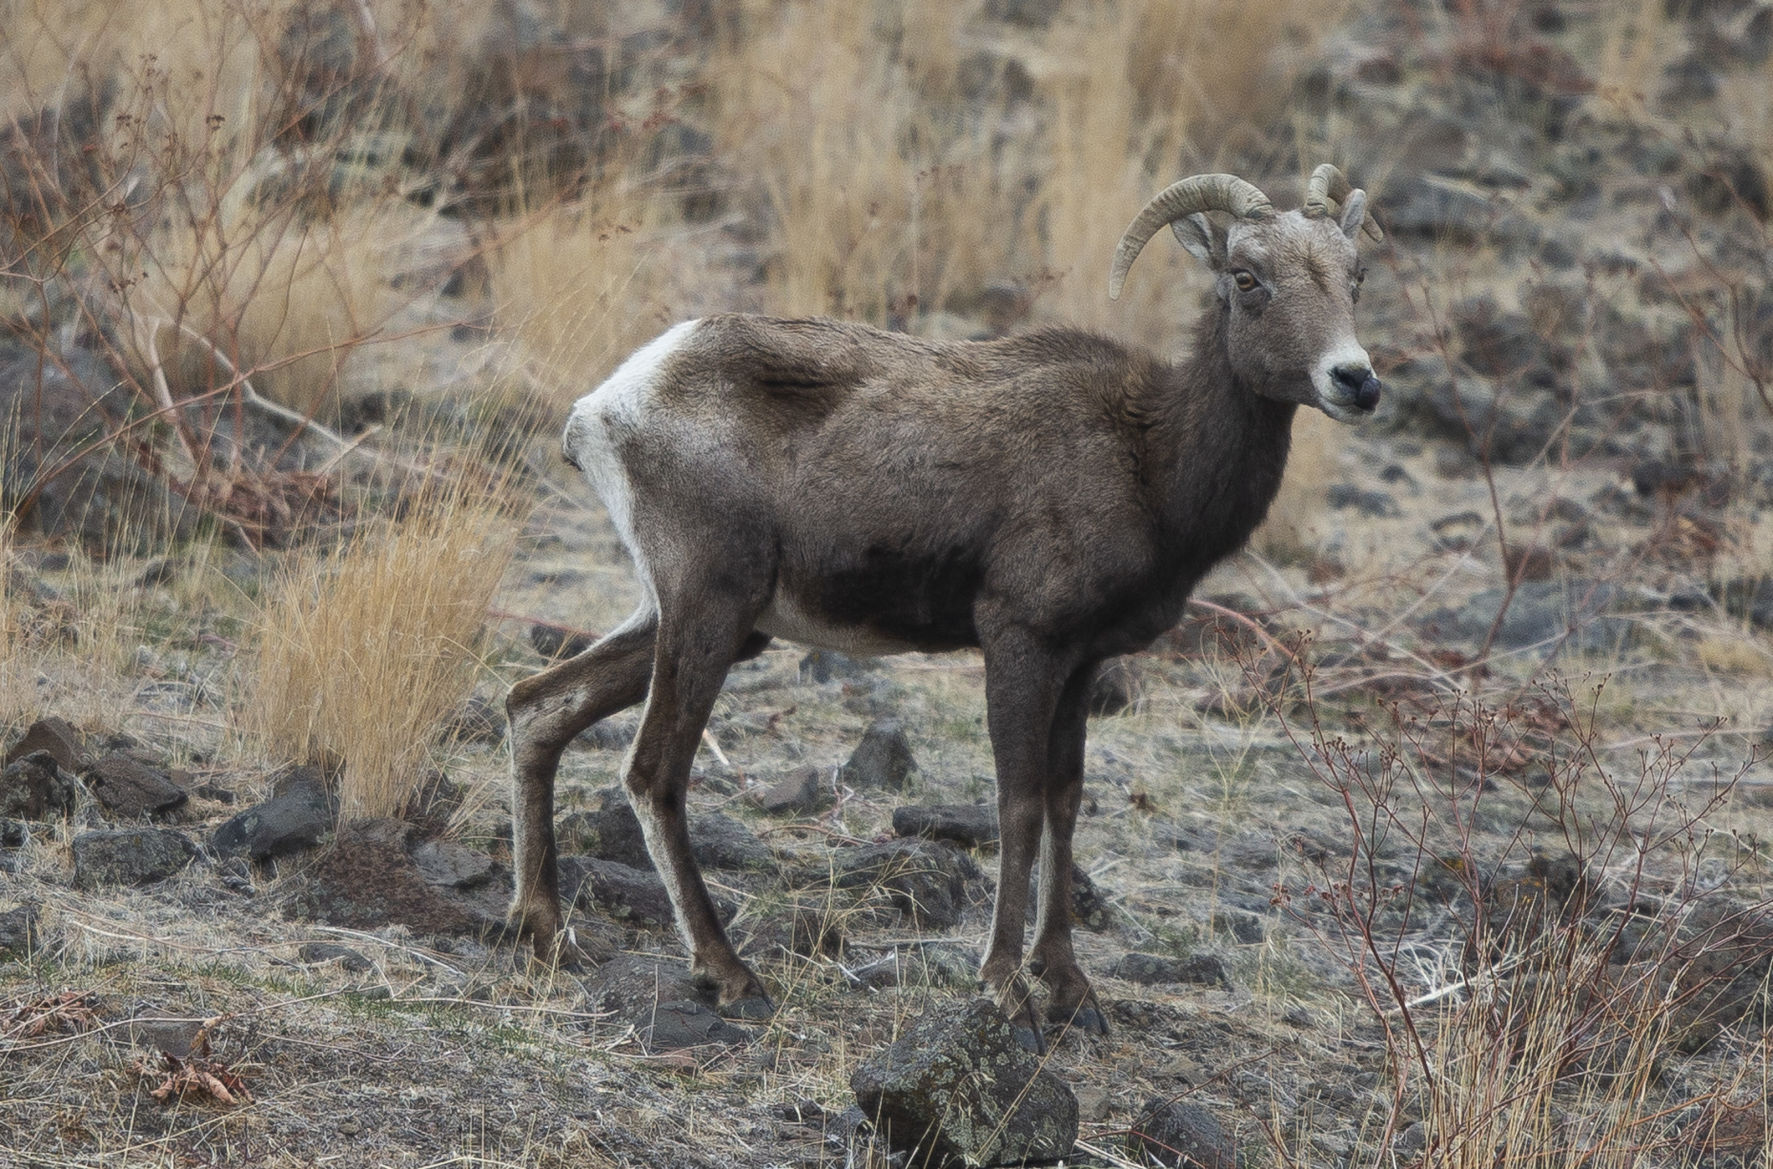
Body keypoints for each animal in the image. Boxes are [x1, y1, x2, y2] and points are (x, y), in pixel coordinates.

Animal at [510, 162, 1382, 1043]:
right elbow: (1018, 807)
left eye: (1354, 277)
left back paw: (545, 931)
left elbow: (1065, 805)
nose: (1355, 380)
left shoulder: (1080, 667)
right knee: (653, 771)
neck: (1149, 457)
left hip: (700, 622)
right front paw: (1004, 987)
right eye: (1246, 278)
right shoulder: (1018, 643)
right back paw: (728, 975)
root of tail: (604, 407)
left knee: (535, 706)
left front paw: (1070, 987)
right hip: (709, 610)